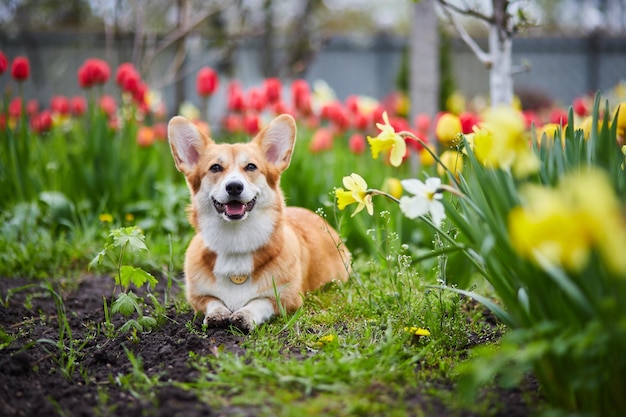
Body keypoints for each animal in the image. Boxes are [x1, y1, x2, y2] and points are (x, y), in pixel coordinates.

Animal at [168, 112, 348, 330]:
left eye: (251, 166)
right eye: (215, 168)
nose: (234, 186)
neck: (235, 241)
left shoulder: (287, 298)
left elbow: (259, 301)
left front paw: (244, 315)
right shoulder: (198, 297)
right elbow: (213, 301)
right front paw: (217, 315)